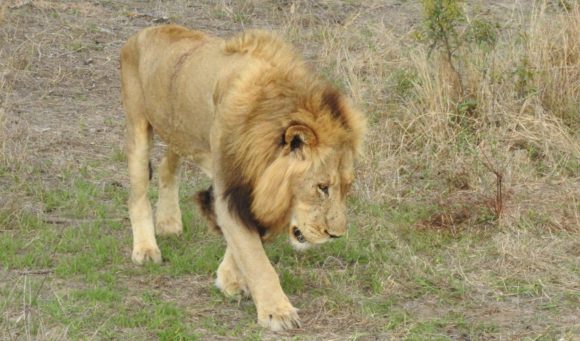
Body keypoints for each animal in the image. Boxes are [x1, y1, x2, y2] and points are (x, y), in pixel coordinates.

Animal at [121, 24, 368, 330]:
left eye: (347, 189)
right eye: (322, 187)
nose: (335, 235)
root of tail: (147, 30)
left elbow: (250, 243)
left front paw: (229, 280)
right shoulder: (228, 187)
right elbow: (255, 257)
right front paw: (277, 312)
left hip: (179, 130)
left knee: (168, 165)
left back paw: (168, 222)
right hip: (139, 128)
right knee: (137, 195)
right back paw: (145, 249)